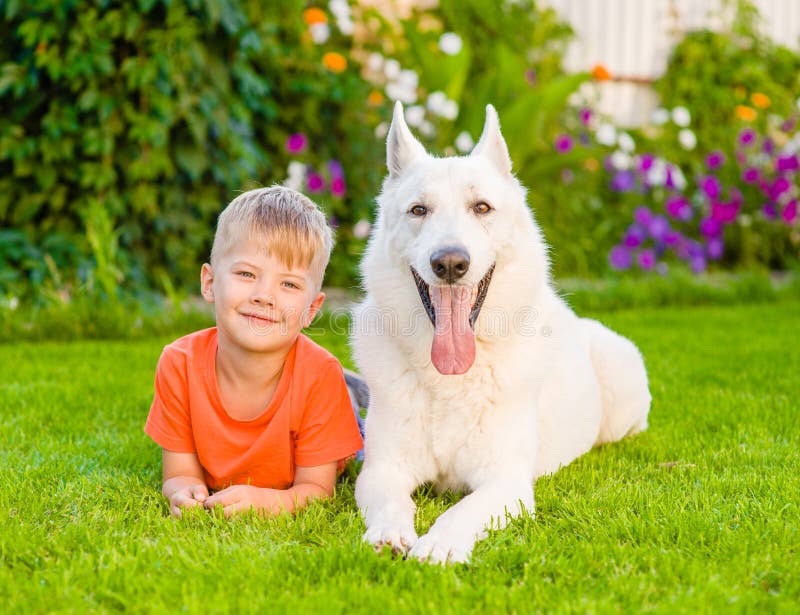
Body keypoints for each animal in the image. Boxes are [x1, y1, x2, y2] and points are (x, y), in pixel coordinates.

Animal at [350, 103, 648, 564]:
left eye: (482, 207)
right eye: (418, 210)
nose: (449, 263)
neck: (452, 378)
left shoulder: (505, 485)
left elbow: (460, 511)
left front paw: (439, 545)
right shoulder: (381, 471)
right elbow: (393, 503)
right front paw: (389, 532)